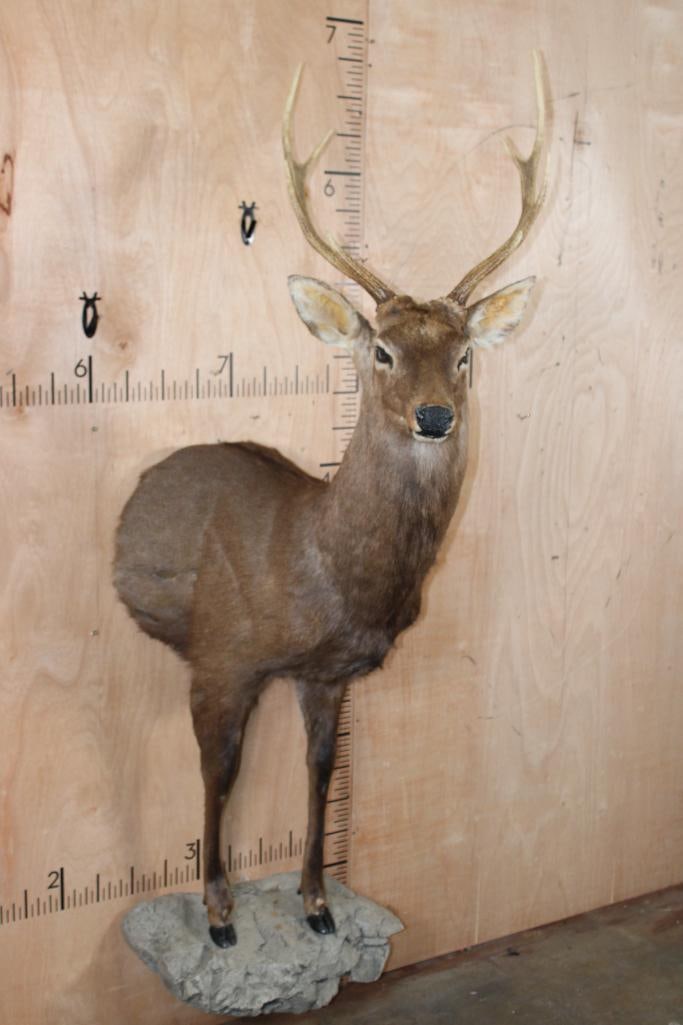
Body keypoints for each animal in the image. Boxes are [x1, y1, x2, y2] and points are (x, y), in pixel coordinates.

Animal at [114, 53, 549, 949]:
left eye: (464, 355)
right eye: (380, 349)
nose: (433, 416)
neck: (325, 577)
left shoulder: (330, 673)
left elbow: (320, 769)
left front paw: (316, 902)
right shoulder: (220, 656)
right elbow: (220, 771)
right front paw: (219, 914)